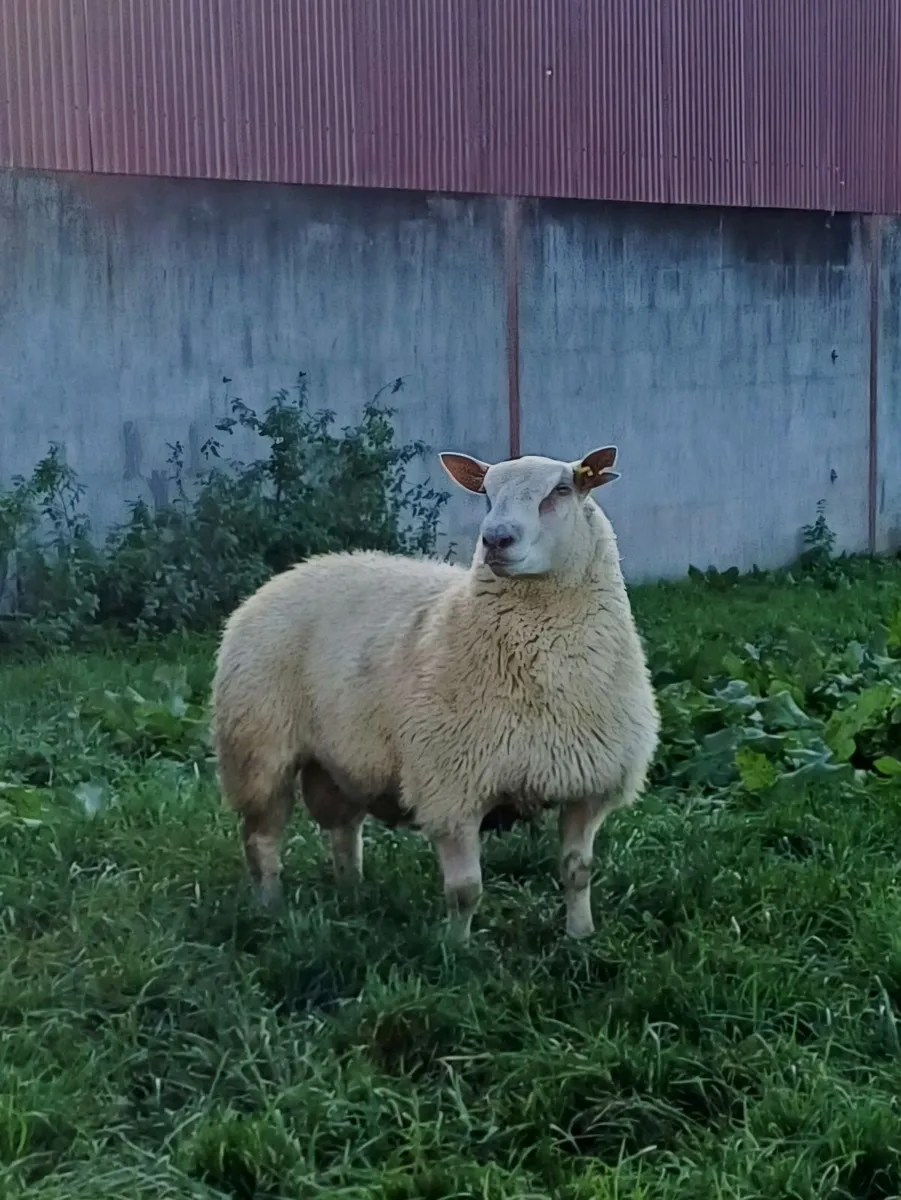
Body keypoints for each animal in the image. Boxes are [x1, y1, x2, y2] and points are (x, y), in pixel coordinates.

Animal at [211, 444, 660, 941]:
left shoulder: (589, 786)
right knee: (261, 840)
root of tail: (295, 571)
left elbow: (577, 872)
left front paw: (580, 936)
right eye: (486, 494)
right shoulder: (452, 789)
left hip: (340, 760)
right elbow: (465, 890)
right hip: (257, 749)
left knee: (345, 829)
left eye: (561, 490)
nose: (495, 539)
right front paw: (455, 949)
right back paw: (270, 909)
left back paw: (352, 893)